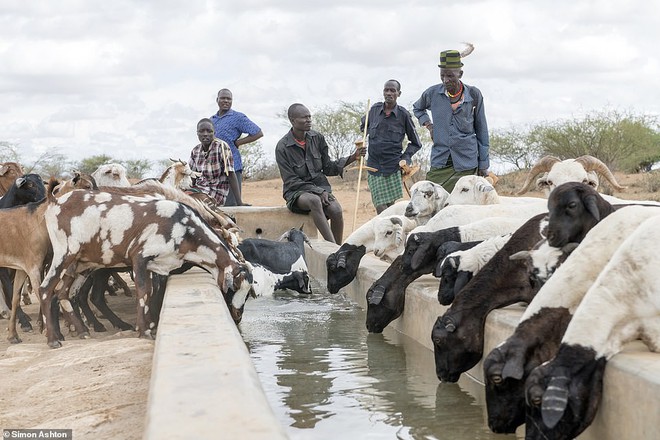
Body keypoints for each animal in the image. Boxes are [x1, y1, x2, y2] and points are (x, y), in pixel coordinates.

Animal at [38, 186, 253, 348]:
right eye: (234, 287)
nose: (238, 315)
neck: (184, 227)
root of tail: (55, 201)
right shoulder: (139, 258)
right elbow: (143, 291)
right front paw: (144, 331)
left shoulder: (155, 266)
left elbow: (151, 292)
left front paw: (149, 325)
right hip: (65, 255)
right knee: (45, 290)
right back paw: (53, 339)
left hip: (80, 265)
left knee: (64, 294)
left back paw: (82, 331)